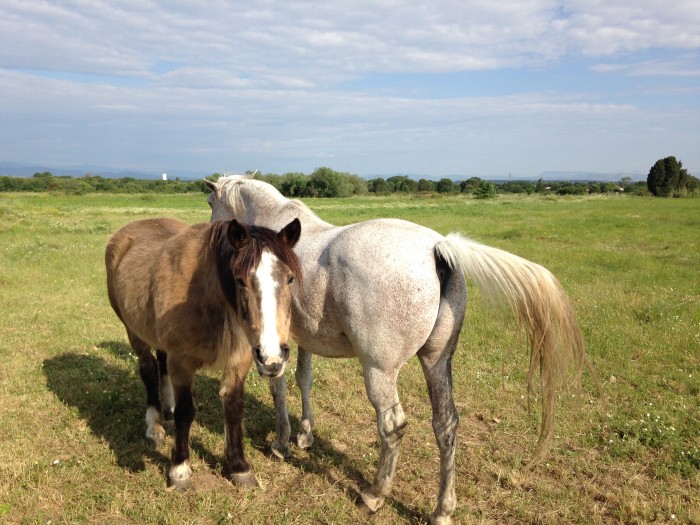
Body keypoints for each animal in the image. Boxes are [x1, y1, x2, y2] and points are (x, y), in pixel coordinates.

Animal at [105, 216, 302, 489]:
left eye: (290, 279)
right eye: (240, 280)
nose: (272, 358)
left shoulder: (239, 361)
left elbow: (233, 408)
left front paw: (239, 467)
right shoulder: (182, 363)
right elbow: (186, 412)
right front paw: (179, 470)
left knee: (161, 364)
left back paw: (167, 410)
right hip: (134, 332)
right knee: (148, 371)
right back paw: (154, 426)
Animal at [205, 174, 596, 524]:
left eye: (210, 203)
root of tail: (438, 247)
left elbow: (279, 385)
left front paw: (283, 443)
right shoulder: (302, 339)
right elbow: (303, 380)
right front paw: (303, 435)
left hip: (380, 371)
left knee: (393, 426)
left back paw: (375, 495)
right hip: (437, 363)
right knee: (446, 424)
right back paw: (442, 511)